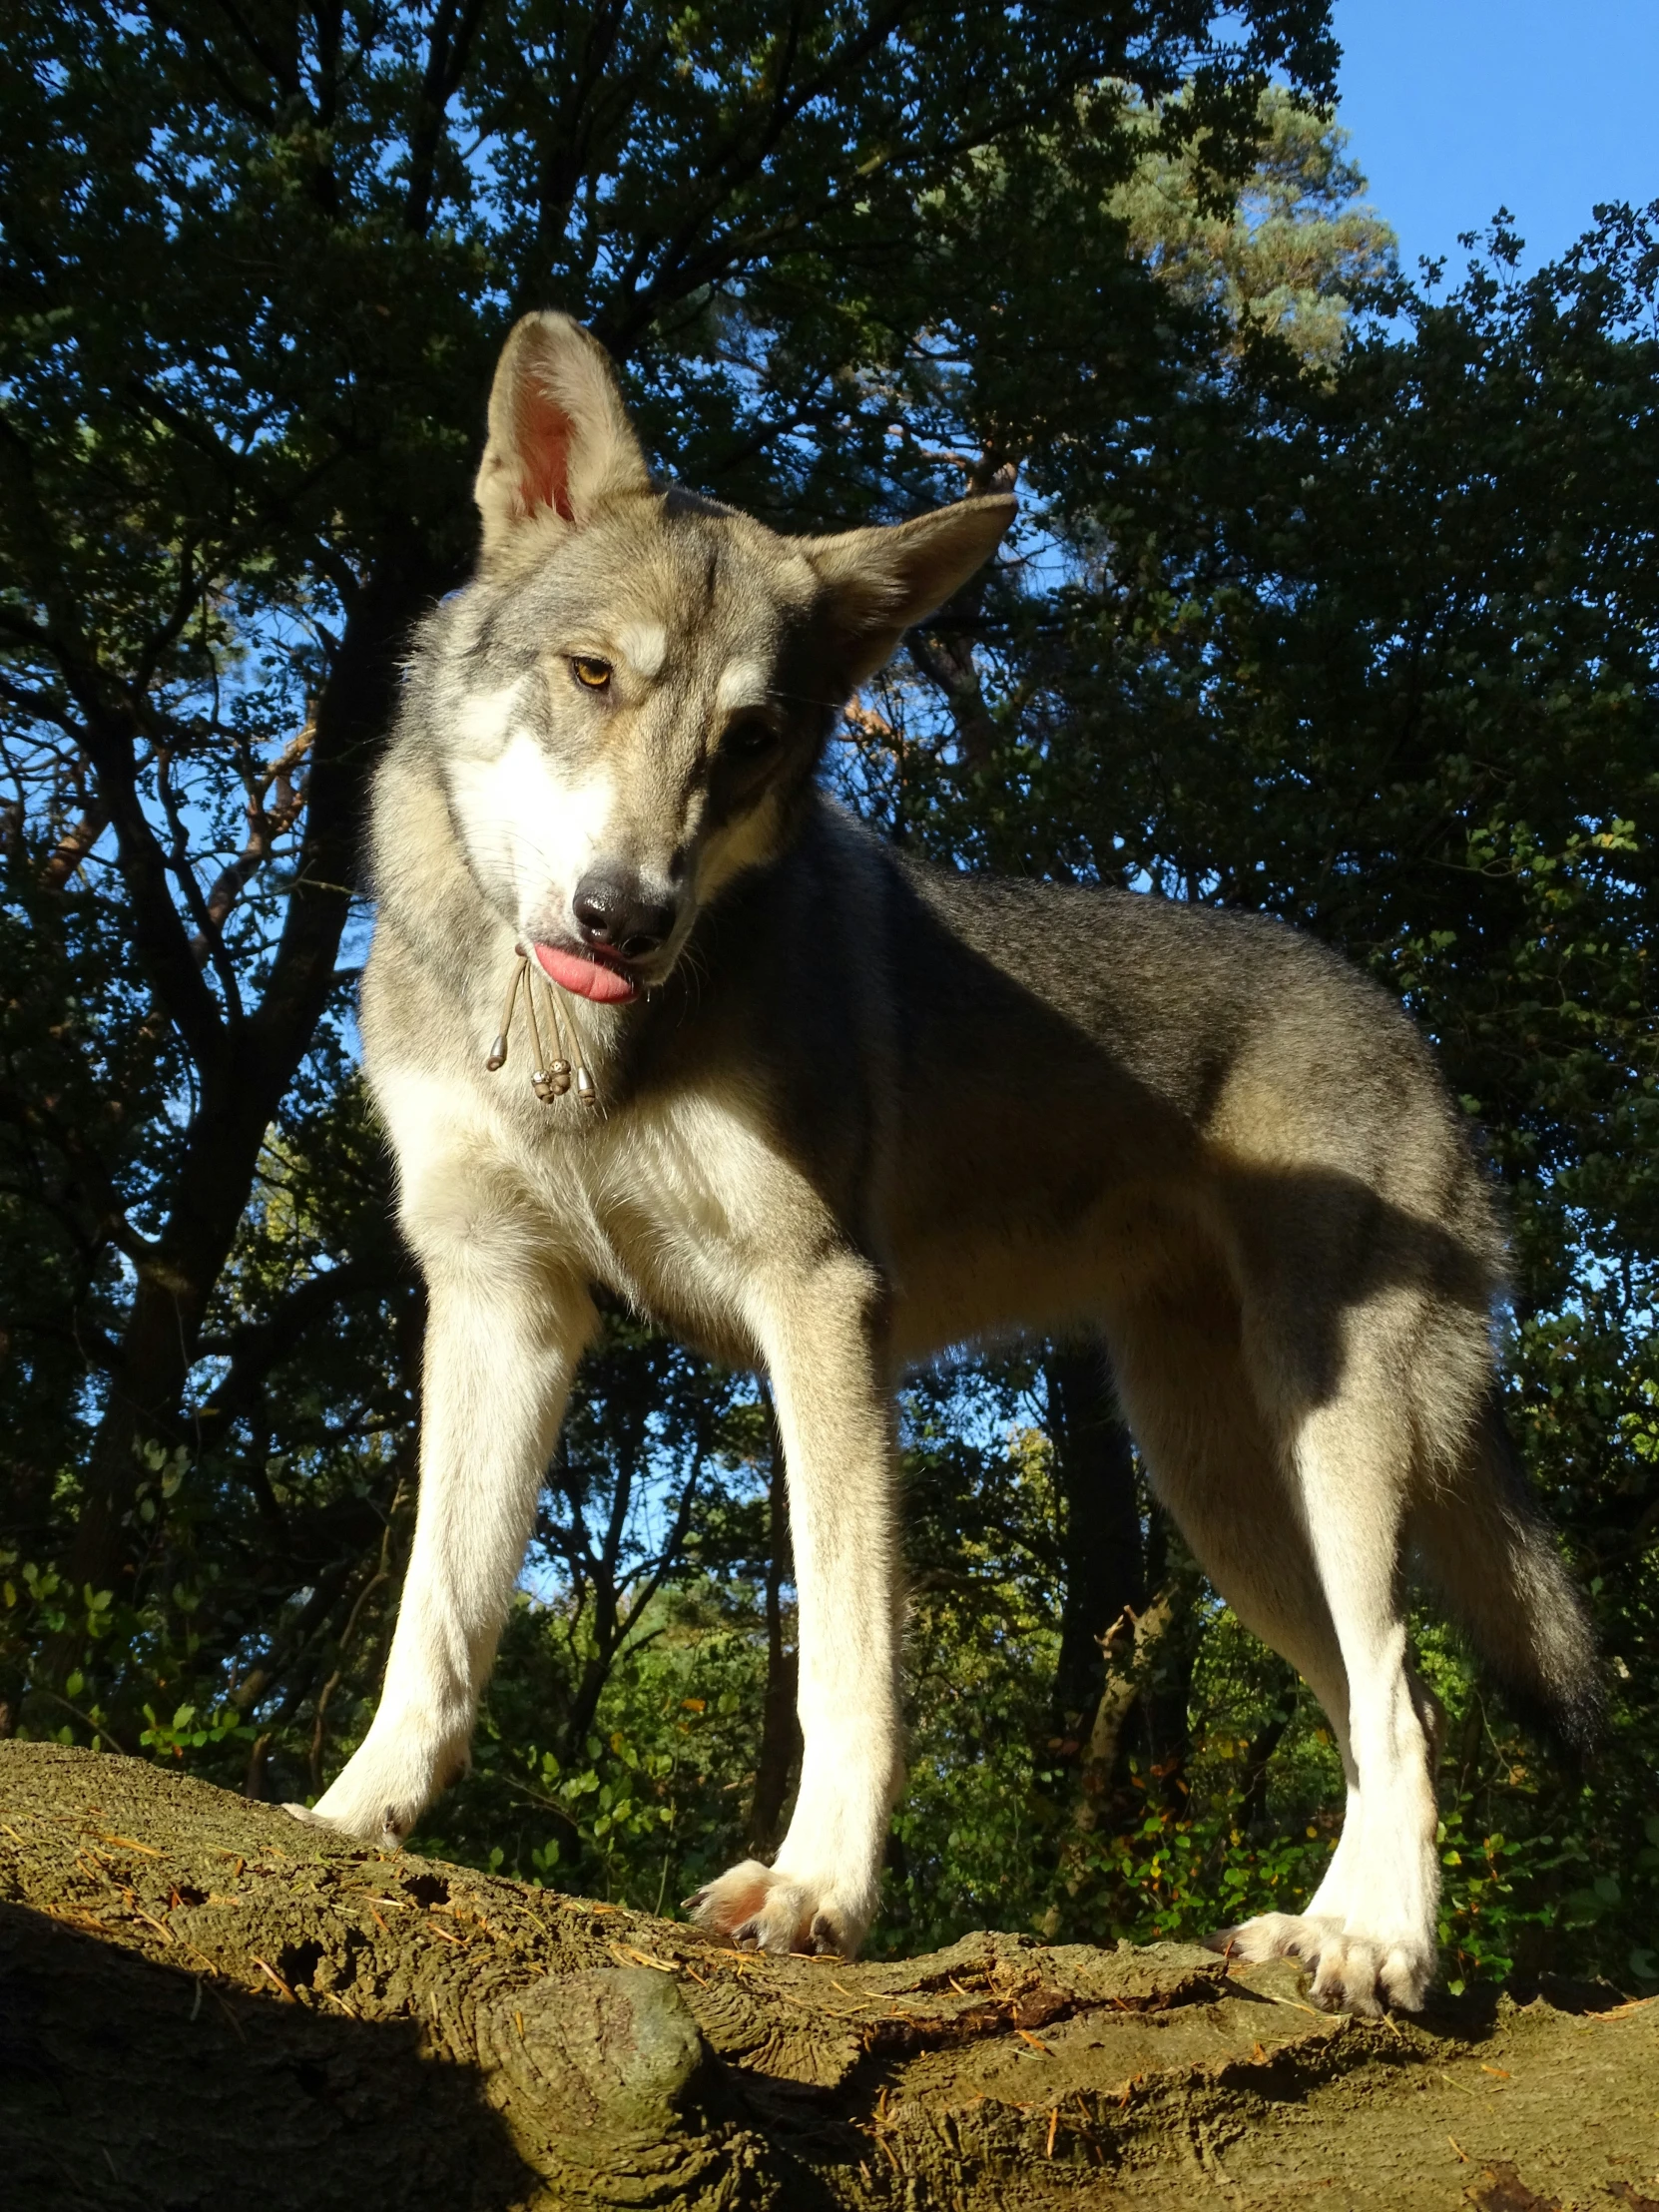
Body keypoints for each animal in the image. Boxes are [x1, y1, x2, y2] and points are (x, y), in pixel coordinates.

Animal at [291, 311, 1601, 2025]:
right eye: (593, 677)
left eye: (752, 740)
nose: (624, 917)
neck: (580, 1048)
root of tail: (1402, 1023)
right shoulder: (504, 1301)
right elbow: (434, 1630)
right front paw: (350, 1817)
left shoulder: (821, 1311)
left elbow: (849, 1661)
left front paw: (818, 1892)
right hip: (1217, 1491)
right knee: (1375, 1707)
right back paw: (1320, 1928)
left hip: (1329, 1455)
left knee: (1401, 1696)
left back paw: (1380, 1948)